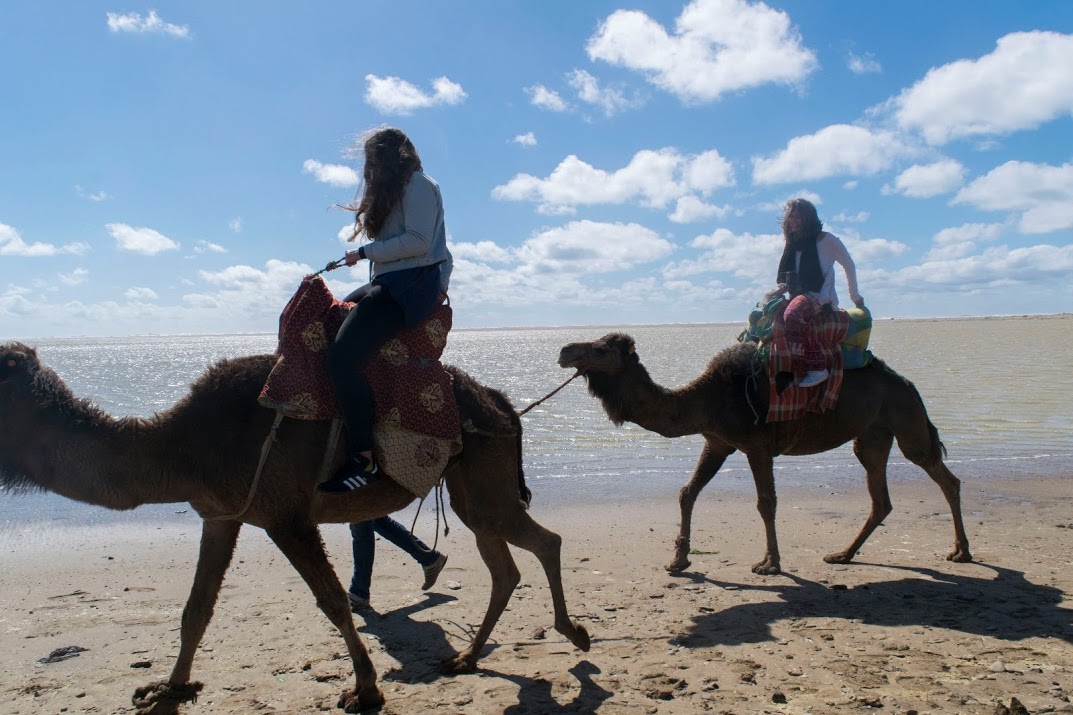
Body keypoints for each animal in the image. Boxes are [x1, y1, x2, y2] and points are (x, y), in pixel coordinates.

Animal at [0, 342, 590, 713]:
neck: (184, 447)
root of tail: (502, 402)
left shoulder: (285, 516)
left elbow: (332, 601)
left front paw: (366, 692)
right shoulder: (221, 515)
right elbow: (196, 610)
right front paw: (168, 690)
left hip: (485, 473)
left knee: (543, 541)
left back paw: (573, 633)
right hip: (473, 486)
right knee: (505, 564)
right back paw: (466, 658)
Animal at [557, 332, 971, 576]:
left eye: (601, 348)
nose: (564, 351)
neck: (706, 398)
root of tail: (907, 382)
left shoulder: (756, 446)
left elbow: (766, 502)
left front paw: (770, 564)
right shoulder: (717, 442)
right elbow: (687, 492)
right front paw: (678, 560)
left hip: (906, 419)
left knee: (944, 476)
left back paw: (961, 552)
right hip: (871, 435)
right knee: (881, 498)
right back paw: (842, 555)